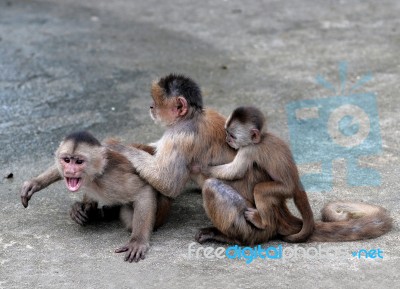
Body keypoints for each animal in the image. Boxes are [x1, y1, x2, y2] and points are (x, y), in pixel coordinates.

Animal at [20, 132, 170, 262]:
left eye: (79, 162)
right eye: (67, 160)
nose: (70, 171)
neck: (94, 176)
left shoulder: (112, 179)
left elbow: (144, 191)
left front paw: (137, 241)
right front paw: (35, 183)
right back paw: (88, 210)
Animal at [111, 74, 392, 245]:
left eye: (156, 102)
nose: (150, 108)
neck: (192, 117)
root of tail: (279, 214)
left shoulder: (182, 136)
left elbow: (168, 183)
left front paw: (117, 147)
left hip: (255, 223)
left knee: (213, 188)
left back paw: (233, 239)